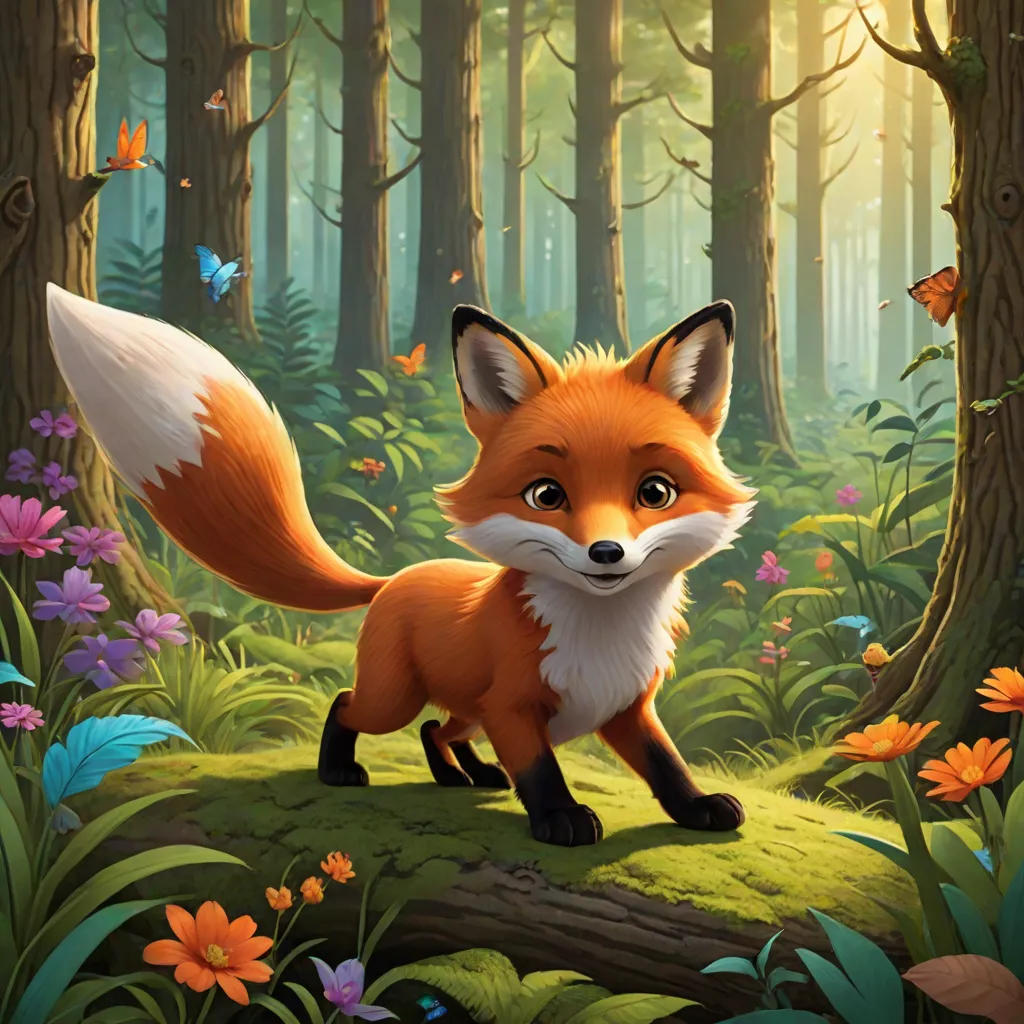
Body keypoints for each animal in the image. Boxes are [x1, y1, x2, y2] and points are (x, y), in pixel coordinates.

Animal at [46, 284, 756, 847]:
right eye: (546, 496)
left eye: (655, 492)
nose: (606, 553)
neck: (598, 635)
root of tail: (395, 578)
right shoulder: (515, 709)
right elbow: (540, 772)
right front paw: (559, 819)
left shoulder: (626, 707)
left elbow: (667, 764)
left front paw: (697, 808)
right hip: (396, 696)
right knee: (350, 704)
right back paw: (341, 770)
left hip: (464, 704)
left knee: (439, 729)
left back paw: (463, 775)